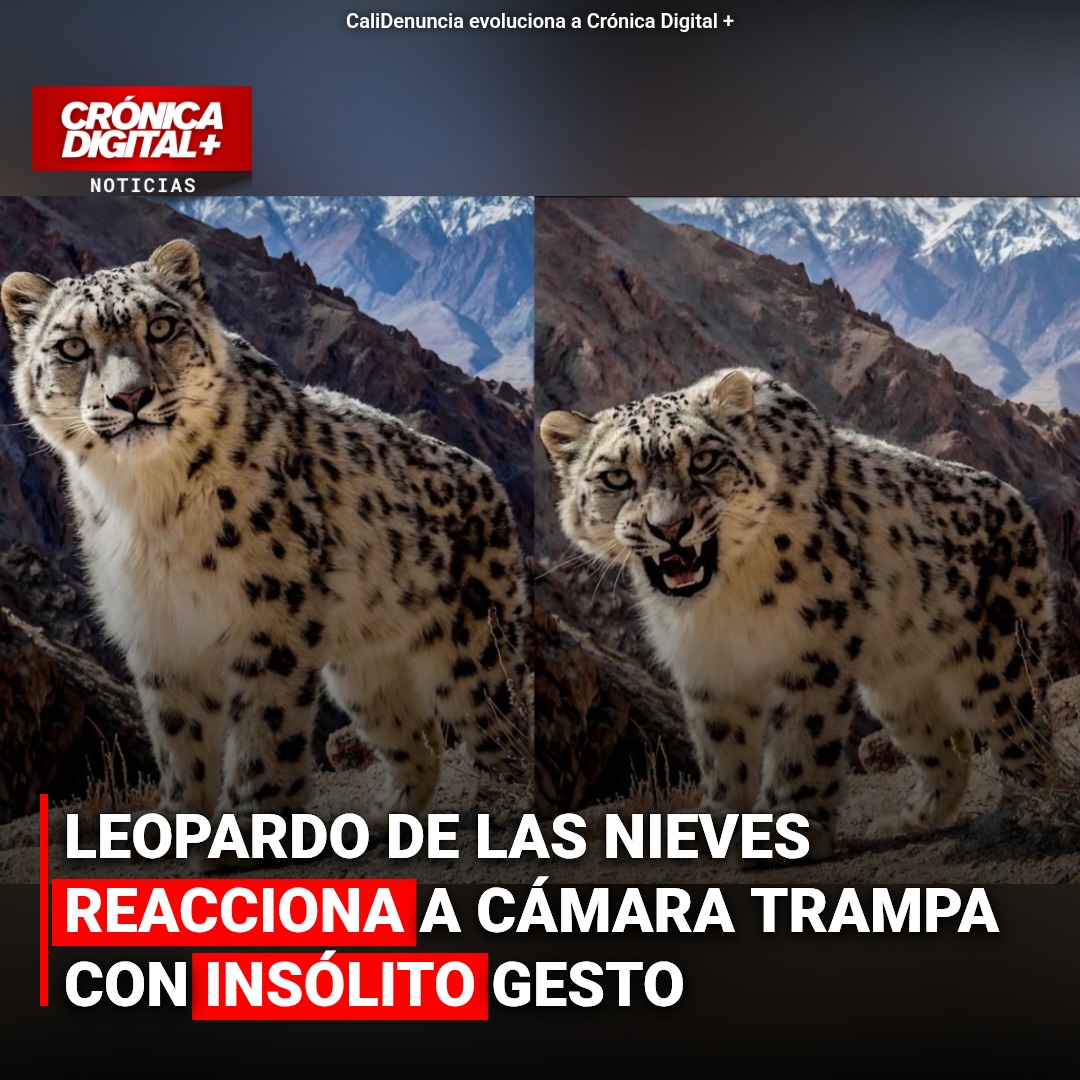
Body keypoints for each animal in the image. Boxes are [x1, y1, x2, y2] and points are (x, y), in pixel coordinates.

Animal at [2, 239, 532, 829]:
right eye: (72, 346)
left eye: (160, 327)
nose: (131, 396)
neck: (146, 504)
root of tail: (489, 480)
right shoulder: (158, 632)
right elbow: (178, 744)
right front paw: (178, 818)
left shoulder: (270, 618)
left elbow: (263, 736)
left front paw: (251, 819)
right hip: (364, 672)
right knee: (417, 744)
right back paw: (381, 823)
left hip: (475, 658)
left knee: (505, 739)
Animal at [541, 367, 1055, 857]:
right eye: (616, 477)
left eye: (704, 460)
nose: (669, 527)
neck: (722, 602)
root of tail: (1022, 506)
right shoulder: (706, 668)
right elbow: (719, 750)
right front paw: (711, 825)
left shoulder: (813, 647)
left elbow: (800, 742)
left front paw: (782, 831)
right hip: (897, 691)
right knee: (949, 747)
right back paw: (906, 821)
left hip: (999, 665)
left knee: (1026, 737)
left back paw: (1031, 809)